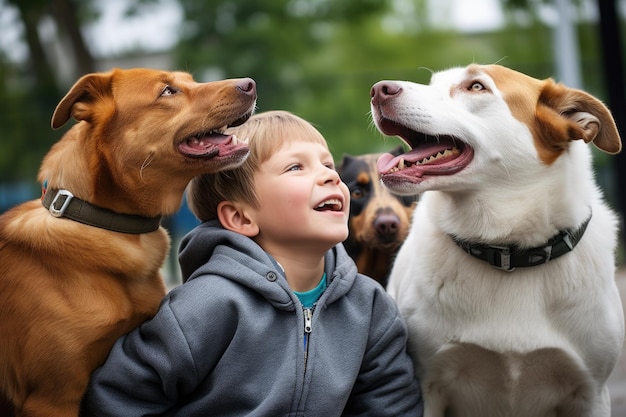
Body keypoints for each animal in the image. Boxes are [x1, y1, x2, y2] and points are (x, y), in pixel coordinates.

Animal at [368, 63, 620, 414]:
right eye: (433, 83)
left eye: (476, 87)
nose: (378, 90)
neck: (508, 251)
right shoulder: (427, 386)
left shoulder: (591, 393)